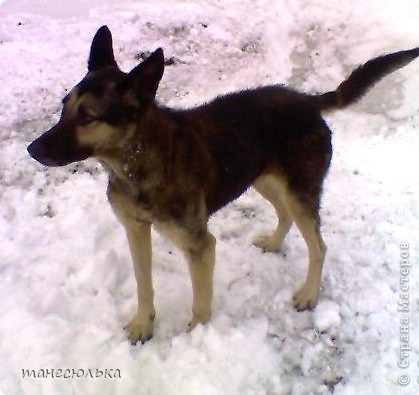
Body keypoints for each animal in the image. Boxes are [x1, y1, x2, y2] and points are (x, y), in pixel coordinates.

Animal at [27, 26, 418, 344]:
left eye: (88, 117)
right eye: (64, 107)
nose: (32, 149)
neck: (136, 159)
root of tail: (308, 100)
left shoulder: (199, 245)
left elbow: (200, 303)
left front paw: (195, 338)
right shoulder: (135, 229)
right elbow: (143, 283)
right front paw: (143, 324)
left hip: (298, 190)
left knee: (319, 246)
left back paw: (308, 293)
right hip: (262, 179)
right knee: (285, 215)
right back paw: (274, 243)